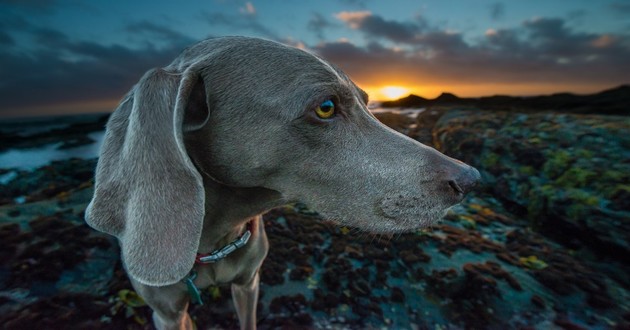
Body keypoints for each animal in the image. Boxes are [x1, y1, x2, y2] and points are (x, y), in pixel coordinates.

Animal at [84, 36, 478, 330]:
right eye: (325, 106)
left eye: (368, 103)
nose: (470, 178)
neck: (215, 240)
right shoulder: (168, 314)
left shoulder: (249, 284)